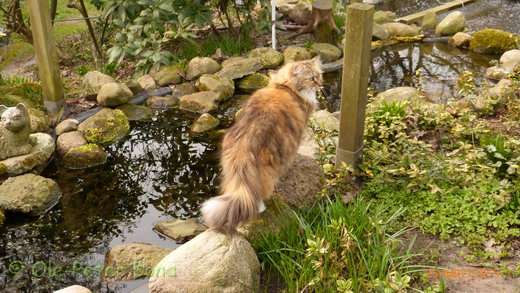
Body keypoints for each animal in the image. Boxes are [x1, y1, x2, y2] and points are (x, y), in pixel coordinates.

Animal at [201, 56, 322, 230]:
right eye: (311, 78)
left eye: (319, 75)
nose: (320, 83)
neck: (284, 87)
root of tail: (243, 147)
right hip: (268, 169)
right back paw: (261, 207)